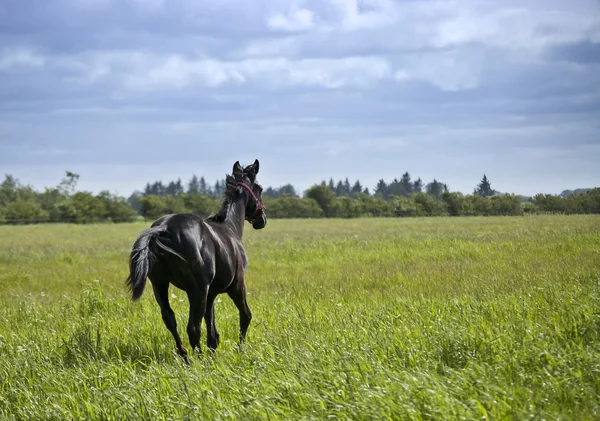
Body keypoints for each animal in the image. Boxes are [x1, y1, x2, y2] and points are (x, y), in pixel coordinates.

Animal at [125, 159, 266, 362]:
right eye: (260, 188)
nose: (262, 219)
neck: (230, 228)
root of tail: (164, 229)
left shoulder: (211, 293)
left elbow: (212, 327)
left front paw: (214, 349)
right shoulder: (237, 286)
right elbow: (245, 315)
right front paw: (240, 349)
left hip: (160, 284)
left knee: (170, 319)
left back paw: (185, 356)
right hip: (197, 290)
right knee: (193, 328)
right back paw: (199, 359)